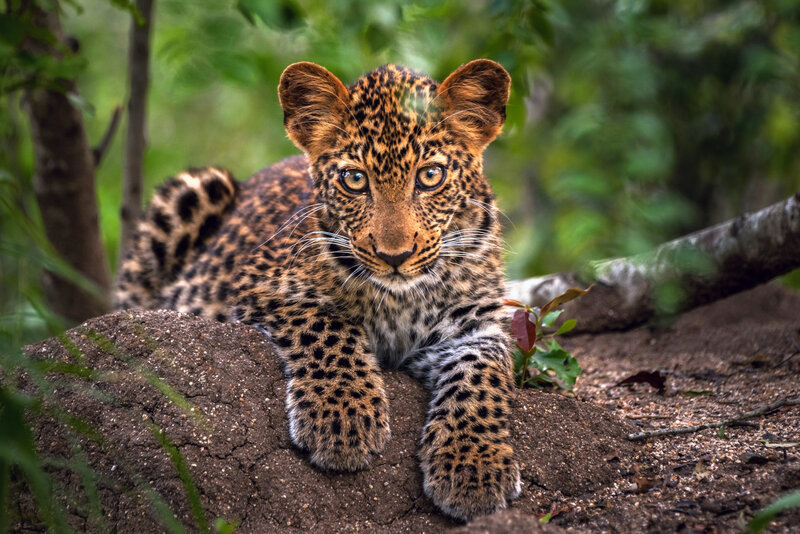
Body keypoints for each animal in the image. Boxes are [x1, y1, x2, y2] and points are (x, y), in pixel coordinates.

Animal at [114, 60, 521, 521]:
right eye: (354, 179)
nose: (395, 255)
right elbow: (328, 327)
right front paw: (342, 417)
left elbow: (481, 378)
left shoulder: (476, 325)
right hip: (193, 190)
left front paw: (475, 465)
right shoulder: (263, 286)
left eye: (431, 176)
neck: (401, 296)